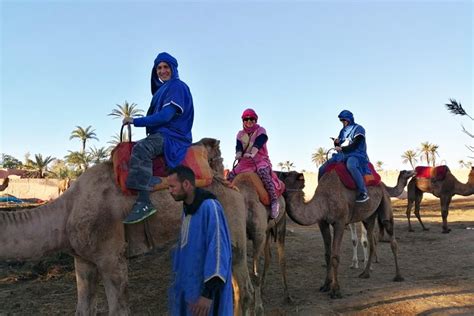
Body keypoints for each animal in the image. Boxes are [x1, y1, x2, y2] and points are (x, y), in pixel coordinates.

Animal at [0, 138, 256, 316]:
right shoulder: (83, 260)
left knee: (244, 288)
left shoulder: (112, 257)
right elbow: (83, 309)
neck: (66, 211)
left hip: (233, 228)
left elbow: (119, 310)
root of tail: (231, 184)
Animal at [231, 173, 290, 314]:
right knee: (268, 257)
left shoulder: (257, 237)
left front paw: (258, 308)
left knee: (281, 259)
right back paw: (262, 289)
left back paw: (287, 295)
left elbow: (254, 275)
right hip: (266, 231)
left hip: (280, 223)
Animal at [278, 170, 404, 298]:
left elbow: (335, 256)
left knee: (391, 237)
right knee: (371, 240)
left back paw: (398, 276)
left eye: (284, 175)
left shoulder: (340, 222)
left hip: (385, 203)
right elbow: (327, 254)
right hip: (368, 217)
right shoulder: (322, 222)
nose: (275, 175)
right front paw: (326, 285)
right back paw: (365, 273)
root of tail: (383, 185)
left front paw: (335, 290)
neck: (324, 200)